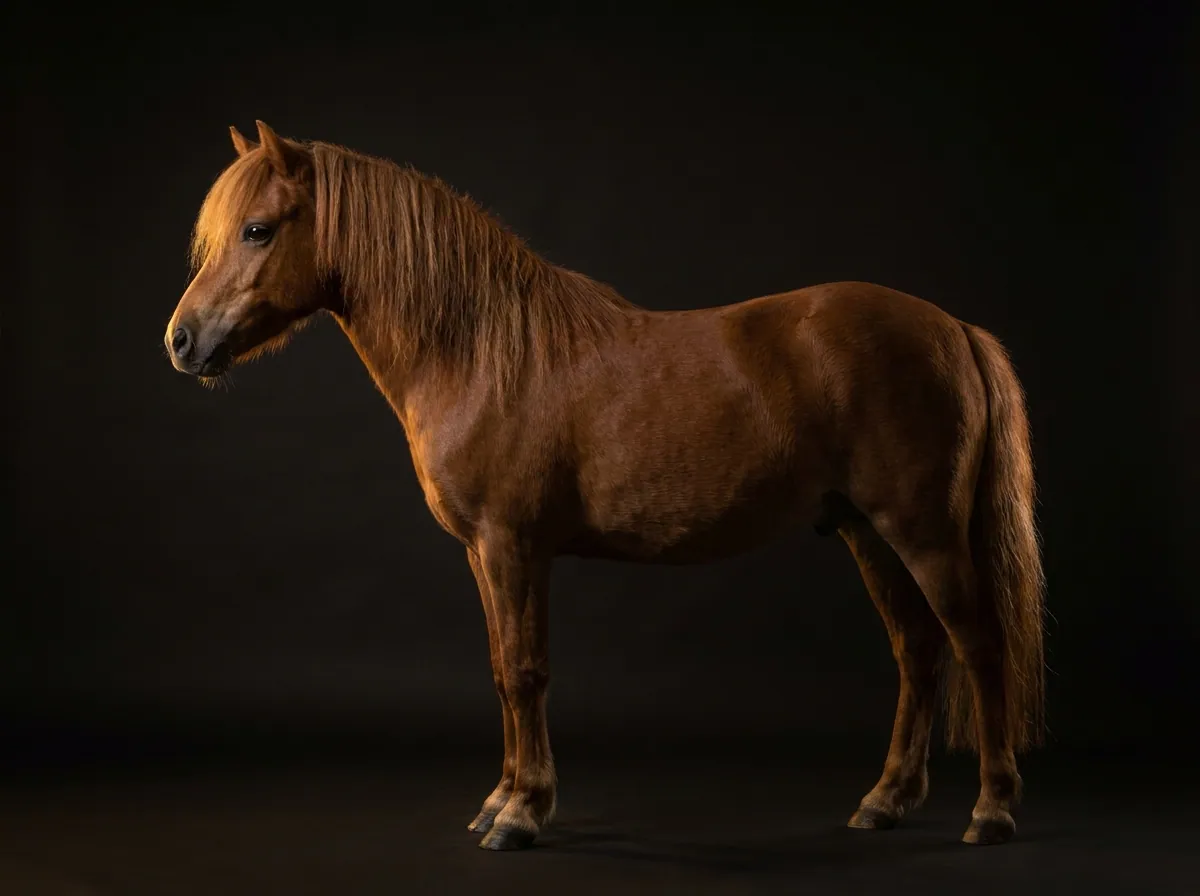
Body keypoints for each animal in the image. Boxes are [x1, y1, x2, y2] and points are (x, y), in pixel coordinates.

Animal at [164, 120, 1045, 851]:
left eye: (257, 229)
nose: (181, 341)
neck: (481, 352)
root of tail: (952, 328)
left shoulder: (513, 546)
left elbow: (526, 670)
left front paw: (521, 815)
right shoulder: (483, 554)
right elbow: (500, 669)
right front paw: (500, 799)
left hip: (923, 532)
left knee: (977, 643)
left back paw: (992, 810)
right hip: (867, 532)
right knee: (917, 649)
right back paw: (885, 801)